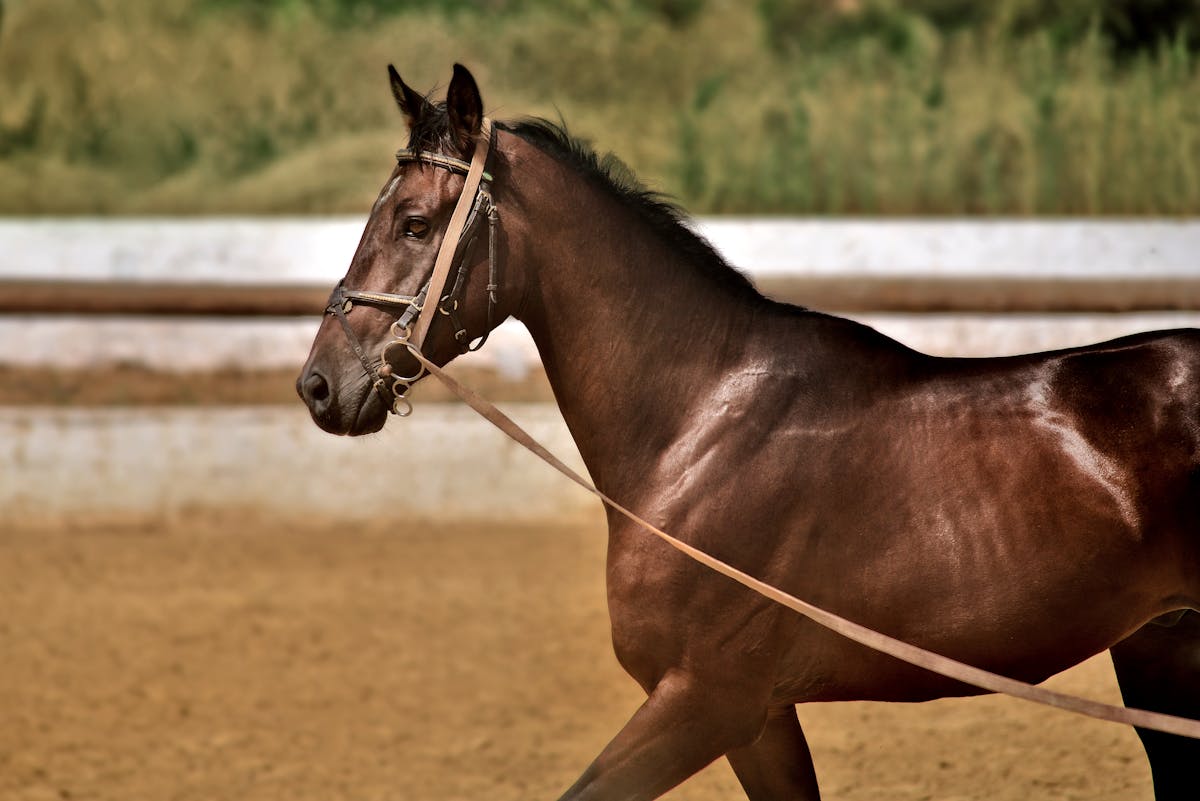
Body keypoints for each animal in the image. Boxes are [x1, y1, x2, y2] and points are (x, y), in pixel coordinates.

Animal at [297, 64, 1200, 800]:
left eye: (416, 222)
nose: (319, 385)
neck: (698, 426)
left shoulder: (709, 700)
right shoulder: (758, 721)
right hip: (1160, 653)